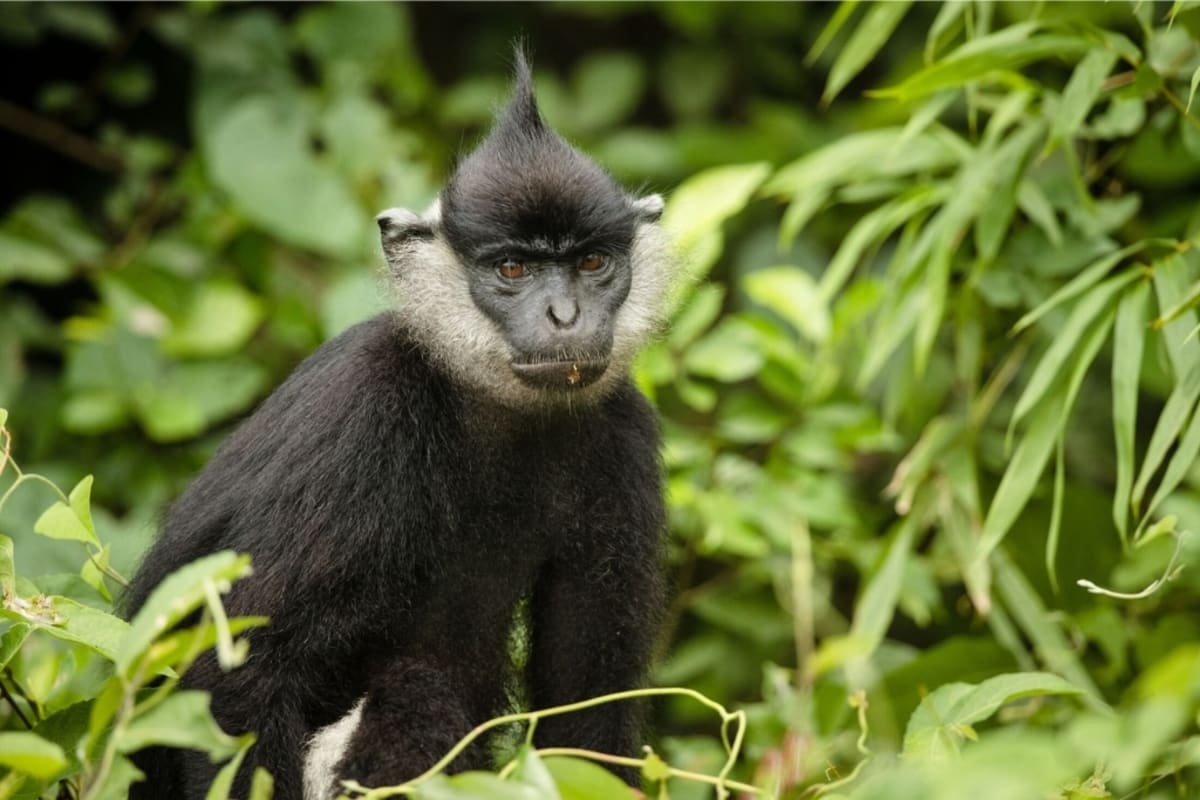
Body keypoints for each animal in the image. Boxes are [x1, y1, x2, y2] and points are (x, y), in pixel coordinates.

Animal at [124, 49, 673, 800]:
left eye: (592, 262)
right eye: (512, 267)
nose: (566, 317)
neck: (491, 409)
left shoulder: (623, 433)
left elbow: (586, 708)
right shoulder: (362, 407)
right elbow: (233, 679)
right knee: (415, 693)